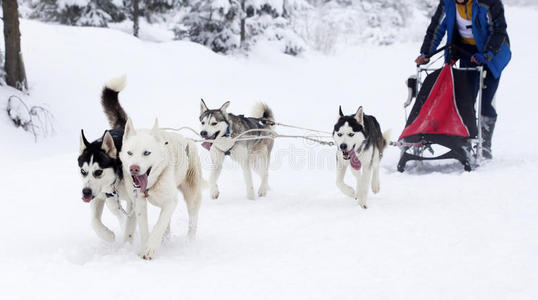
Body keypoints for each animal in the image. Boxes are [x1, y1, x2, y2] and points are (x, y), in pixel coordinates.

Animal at [77, 76, 136, 243]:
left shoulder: (133, 200)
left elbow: (130, 223)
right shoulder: (99, 195)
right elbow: (94, 222)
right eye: (83, 171)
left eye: (98, 172)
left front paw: (128, 243)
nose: (85, 192)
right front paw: (108, 235)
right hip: (110, 201)